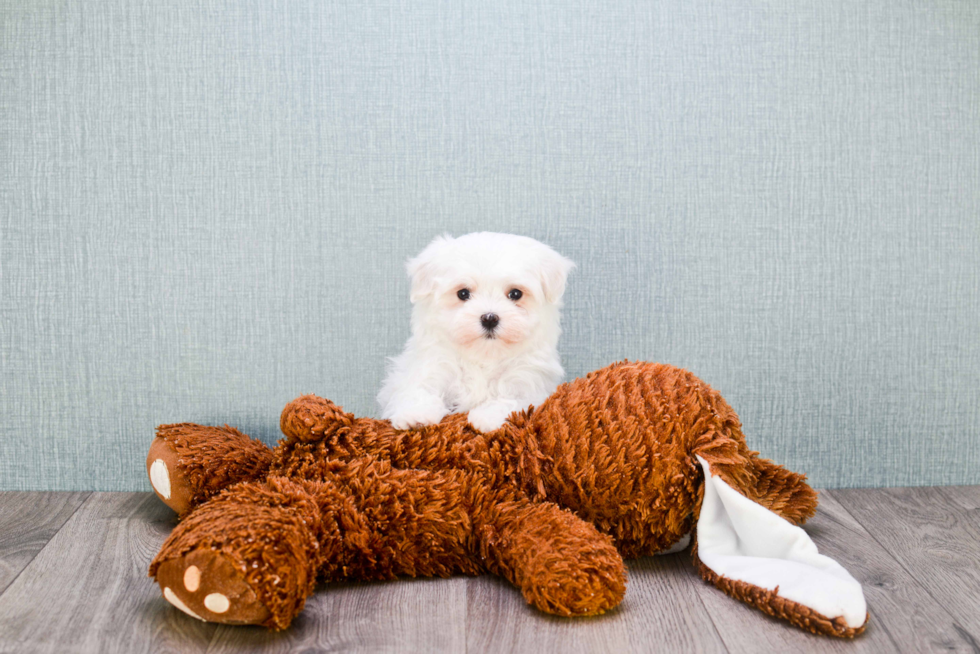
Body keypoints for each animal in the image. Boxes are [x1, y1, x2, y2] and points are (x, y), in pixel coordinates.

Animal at [378, 233, 576, 434]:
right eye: (463, 293)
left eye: (515, 294)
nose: (489, 318)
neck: (483, 356)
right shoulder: (432, 365)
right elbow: (419, 389)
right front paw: (415, 414)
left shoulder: (529, 383)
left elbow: (512, 399)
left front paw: (487, 417)